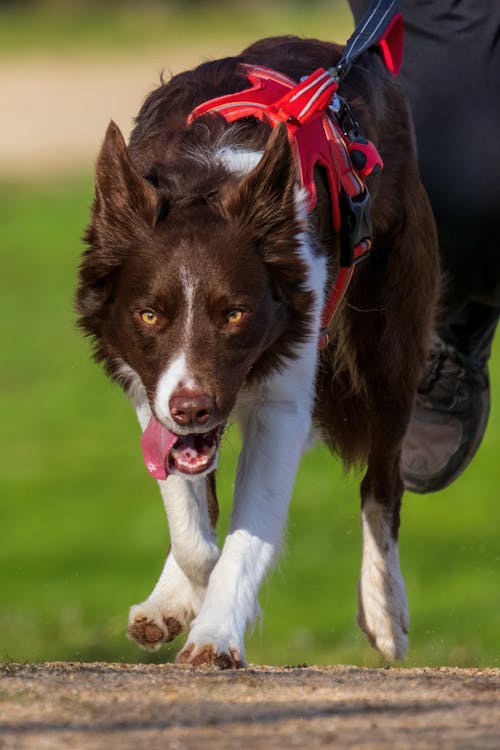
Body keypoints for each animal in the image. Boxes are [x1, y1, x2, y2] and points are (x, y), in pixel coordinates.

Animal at [76, 35, 440, 668]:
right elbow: (193, 528)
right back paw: (167, 598)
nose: (193, 408)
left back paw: (385, 610)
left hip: (389, 345)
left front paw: (219, 628)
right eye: (149, 315)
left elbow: (247, 534)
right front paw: (190, 597)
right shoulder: (150, 389)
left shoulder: (283, 400)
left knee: (383, 483)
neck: (205, 179)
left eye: (235, 314)